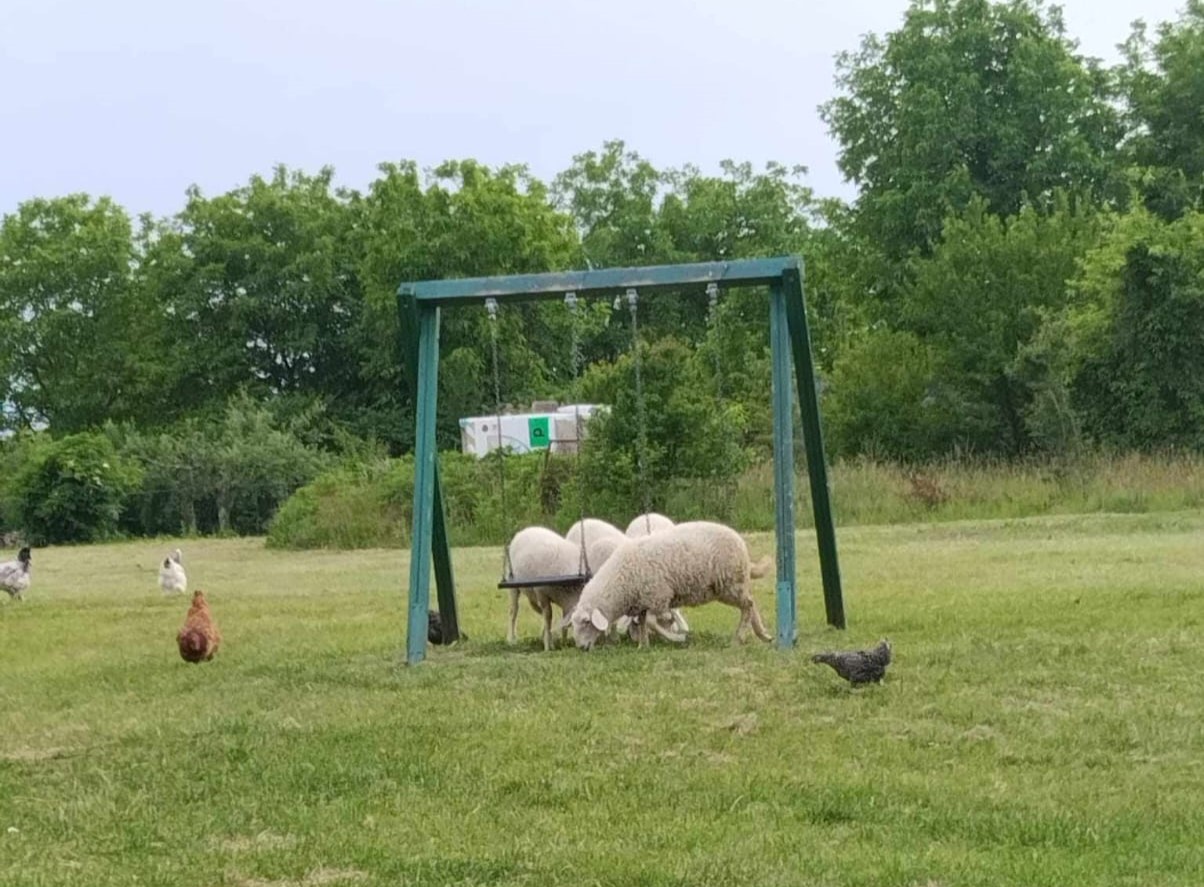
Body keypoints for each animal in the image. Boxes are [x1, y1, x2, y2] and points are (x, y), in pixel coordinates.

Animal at [563, 519, 770, 649]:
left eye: (586, 622)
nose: (581, 647)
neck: (621, 583)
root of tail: (743, 548)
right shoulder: (643, 601)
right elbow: (644, 622)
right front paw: (643, 645)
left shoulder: (659, 597)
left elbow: (655, 622)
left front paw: (676, 637)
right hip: (734, 584)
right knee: (751, 604)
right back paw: (763, 634)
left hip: (729, 584)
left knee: (748, 605)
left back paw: (738, 639)